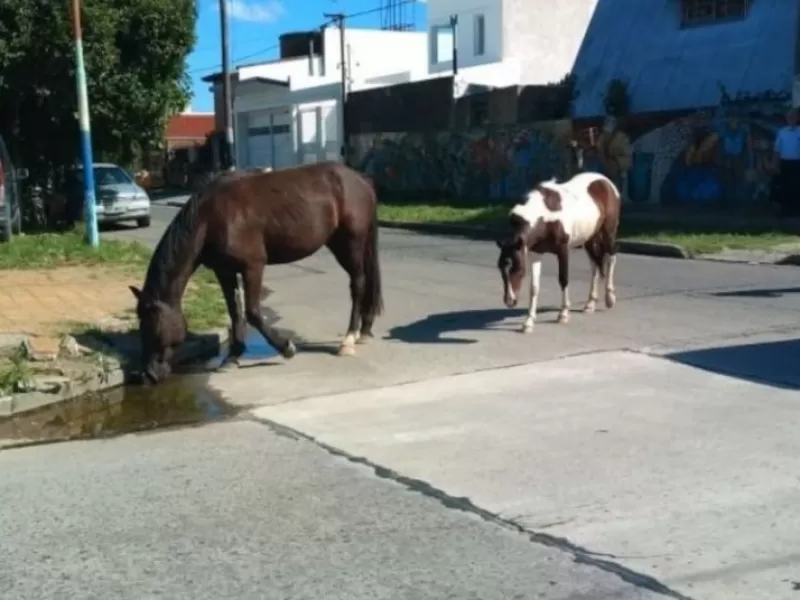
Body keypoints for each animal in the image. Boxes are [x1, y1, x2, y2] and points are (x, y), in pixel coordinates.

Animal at [129, 162, 384, 382]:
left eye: (151, 324)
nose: (149, 374)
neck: (211, 217)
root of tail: (361, 179)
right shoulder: (225, 271)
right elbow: (235, 313)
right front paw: (232, 357)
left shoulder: (252, 267)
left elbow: (252, 312)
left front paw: (286, 347)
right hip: (339, 244)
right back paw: (363, 330)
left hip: (352, 242)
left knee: (358, 283)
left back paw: (348, 340)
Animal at [496, 171, 620, 336]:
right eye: (500, 268)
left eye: (517, 269)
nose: (510, 301)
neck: (544, 215)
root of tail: (605, 181)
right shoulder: (535, 252)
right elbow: (534, 287)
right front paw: (528, 322)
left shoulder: (563, 250)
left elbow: (563, 279)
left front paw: (563, 314)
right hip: (589, 238)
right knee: (595, 265)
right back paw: (590, 304)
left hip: (608, 232)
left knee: (611, 257)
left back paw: (609, 298)